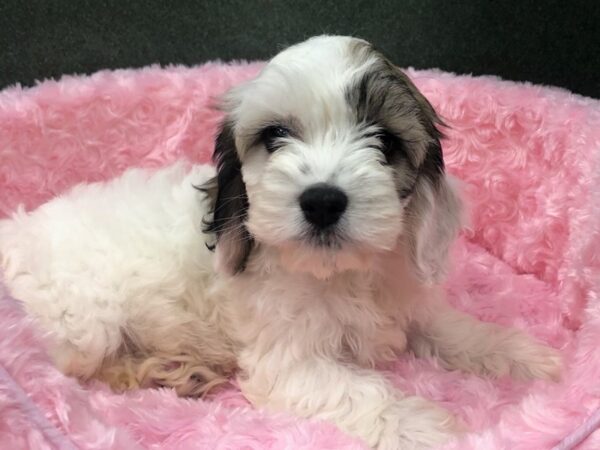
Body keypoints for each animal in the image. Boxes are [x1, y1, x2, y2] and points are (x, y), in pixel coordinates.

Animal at [1, 36, 564, 450]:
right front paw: (427, 428)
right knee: (72, 369)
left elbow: (454, 330)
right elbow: (364, 392)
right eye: (274, 136)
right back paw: (167, 369)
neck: (339, 271)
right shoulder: (289, 362)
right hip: (82, 322)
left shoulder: (408, 301)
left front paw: (528, 358)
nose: (323, 201)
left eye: (385, 142)